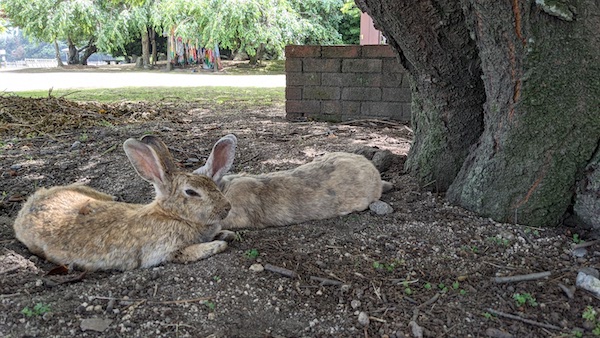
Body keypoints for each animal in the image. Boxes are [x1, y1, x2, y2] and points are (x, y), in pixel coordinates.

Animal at [12, 135, 232, 272]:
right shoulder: (165, 251)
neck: (172, 214)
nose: (227, 208)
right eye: (191, 192)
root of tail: (28, 205)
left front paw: (227, 234)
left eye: (214, 185)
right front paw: (219, 244)